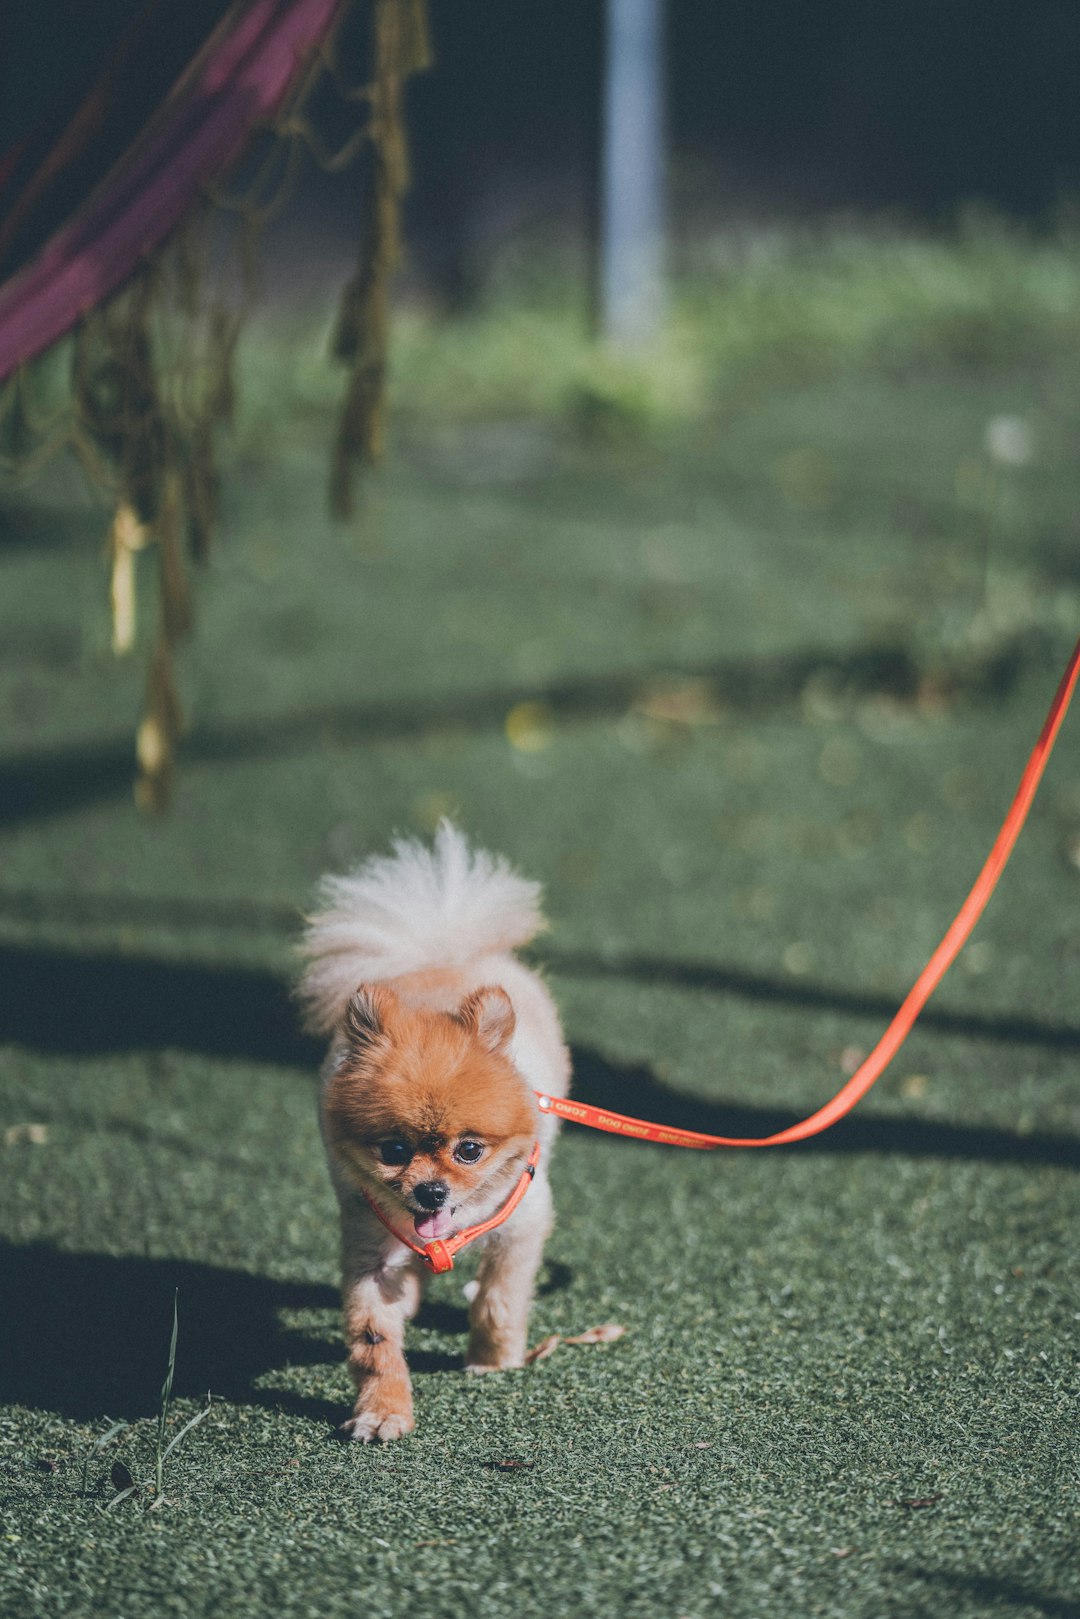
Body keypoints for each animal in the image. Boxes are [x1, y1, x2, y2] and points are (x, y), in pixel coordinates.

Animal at [293, 822, 566, 1444]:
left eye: (469, 1150)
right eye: (393, 1150)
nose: (431, 1192)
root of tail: (438, 954)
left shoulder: (523, 1225)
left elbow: (498, 1299)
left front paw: (492, 1360)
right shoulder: (368, 1246)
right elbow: (372, 1340)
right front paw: (383, 1410)